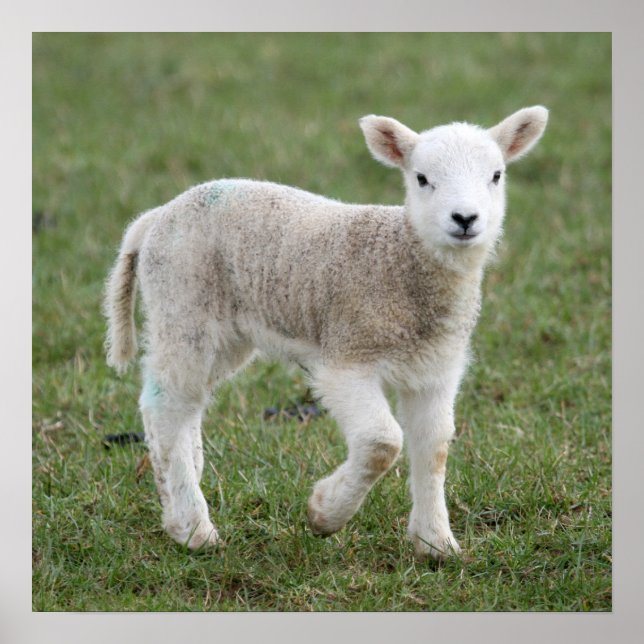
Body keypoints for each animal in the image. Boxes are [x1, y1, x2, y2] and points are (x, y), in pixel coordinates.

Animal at [104, 106, 548, 560]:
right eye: (422, 178)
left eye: (496, 175)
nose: (465, 219)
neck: (402, 261)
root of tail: (156, 217)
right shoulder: (346, 359)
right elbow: (382, 442)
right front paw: (324, 514)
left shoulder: (435, 369)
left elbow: (435, 447)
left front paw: (435, 542)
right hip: (182, 305)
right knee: (166, 403)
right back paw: (192, 526)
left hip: (221, 332)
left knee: (184, 402)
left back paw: (182, 485)